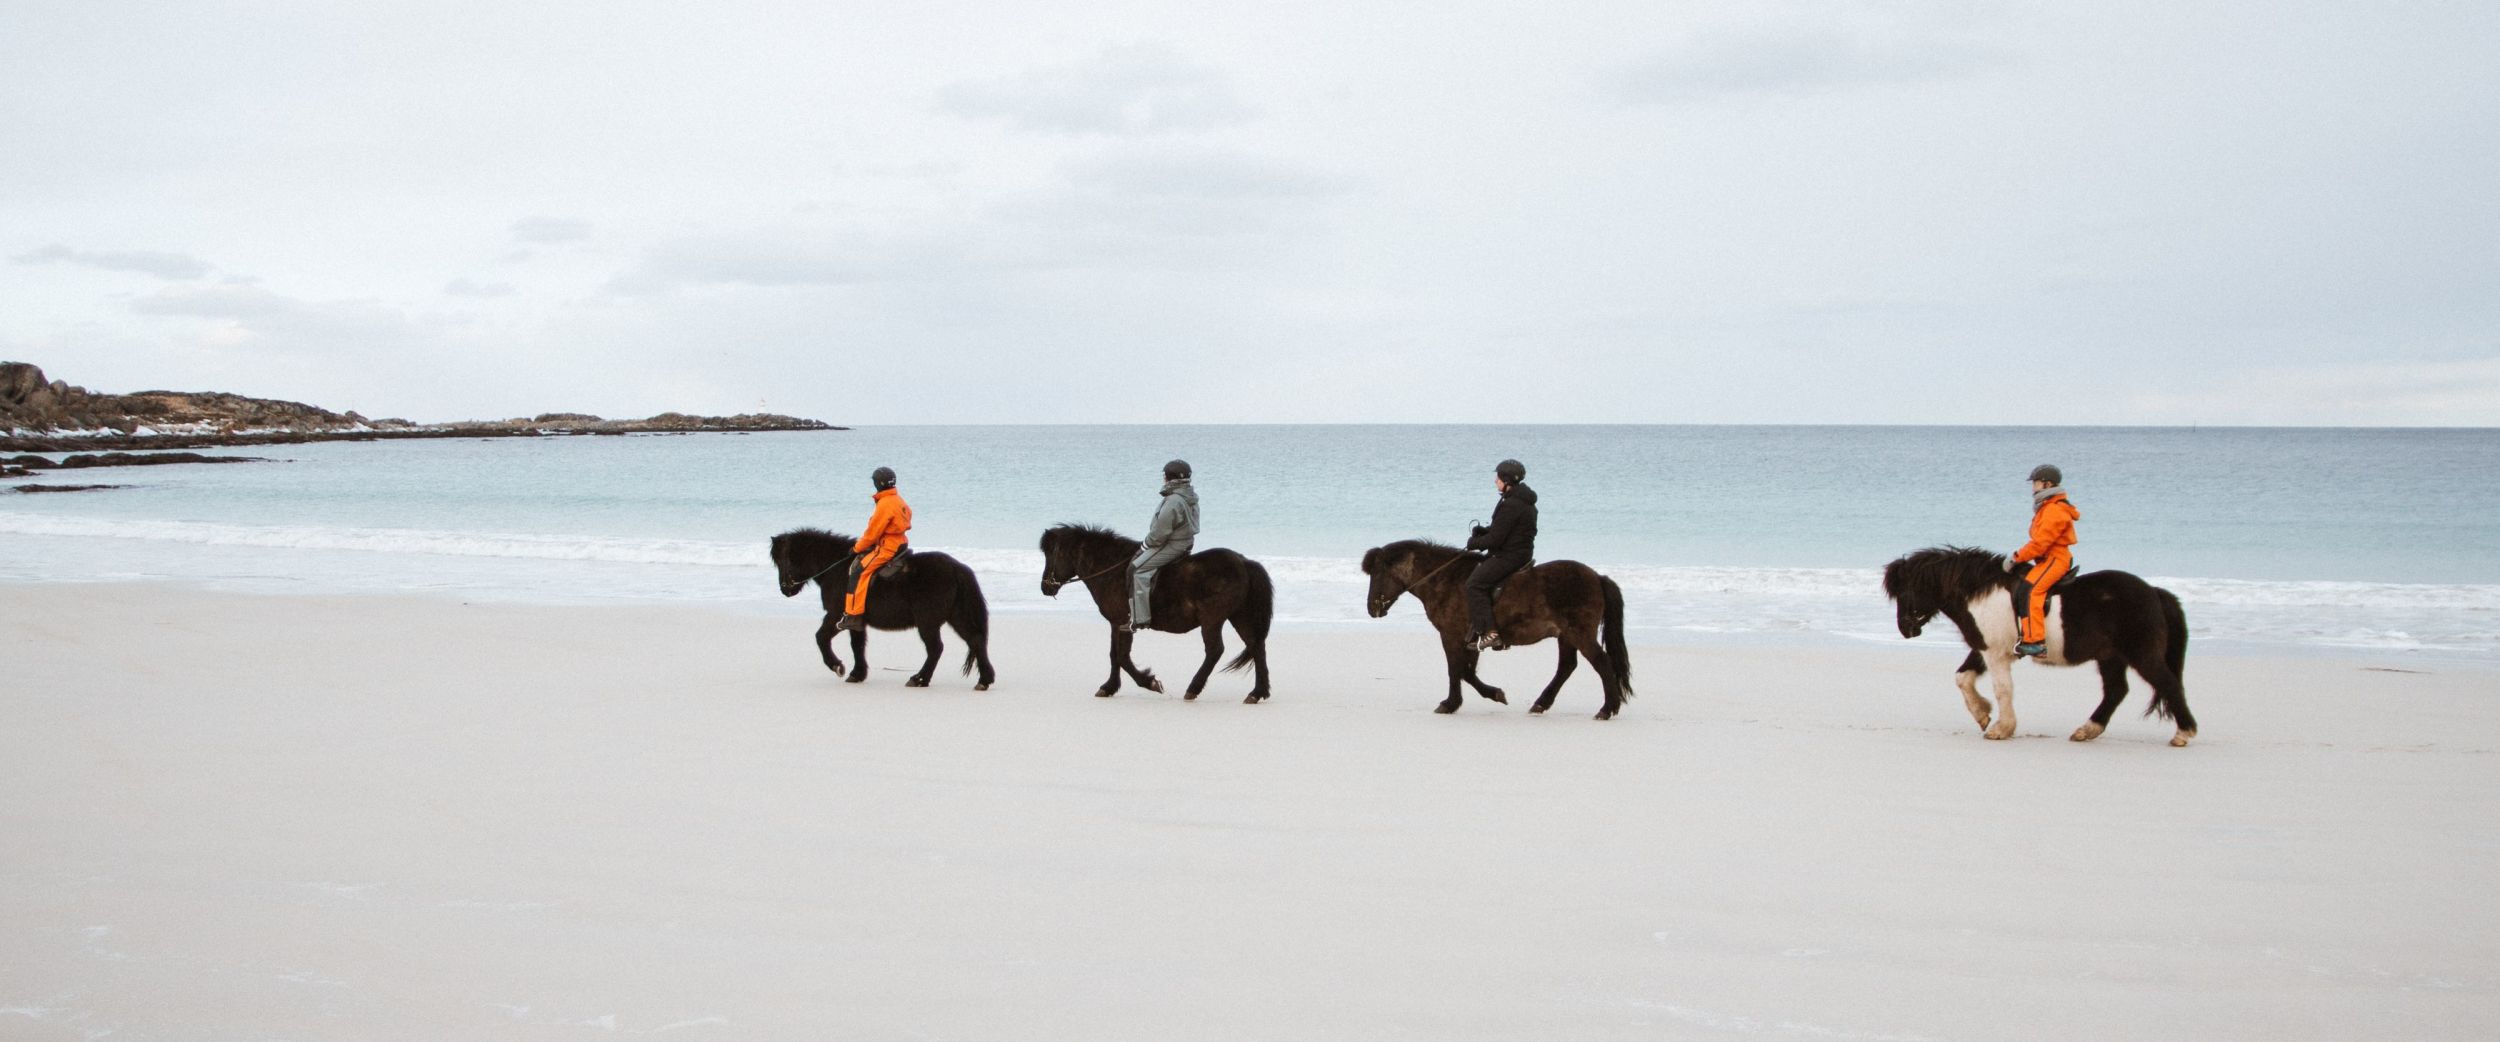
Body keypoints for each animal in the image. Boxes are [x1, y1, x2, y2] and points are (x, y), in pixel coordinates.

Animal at [770, 527, 995, 689]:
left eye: (783, 560)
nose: (785, 589)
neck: (837, 568)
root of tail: (957, 569)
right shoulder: (854, 620)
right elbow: (857, 645)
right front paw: (857, 674)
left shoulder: (835, 615)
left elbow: (821, 637)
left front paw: (837, 666)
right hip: (956, 616)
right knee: (975, 640)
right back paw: (984, 680)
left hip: (928, 622)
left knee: (936, 649)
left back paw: (919, 679)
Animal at [1035, 524, 1270, 704]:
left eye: (1052, 554)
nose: (1045, 587)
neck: (1111, 569)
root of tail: (1244, 562)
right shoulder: (1116, 623)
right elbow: (1114, 655)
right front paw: (1109, 687)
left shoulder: (1123, 622)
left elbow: (1122, 657)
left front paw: (1151, 683)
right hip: (1238, 616)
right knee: (1256, 645)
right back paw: (1257, 693)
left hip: (1212, 620)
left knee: (1215, 650)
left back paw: (1193, 689)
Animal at [1360, 539, 1630, 719]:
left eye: (1378, 573)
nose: (1372, 608)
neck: (1446, 579)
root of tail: (1597, 577)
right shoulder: (1470, 639)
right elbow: (1467, 672)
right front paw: (1495, 694)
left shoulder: (1451, 635)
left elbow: (1456, 670)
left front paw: (1450, 703)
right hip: (1566, 635)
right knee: (1567, 666)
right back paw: (1541, 703)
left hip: (1579, 633)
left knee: (1601, 663)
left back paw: (1607, 709)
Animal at [1880, 547, 2200, 744]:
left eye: (1905, 592)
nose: (1906, 629)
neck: (1981, 594)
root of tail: (2154, 593)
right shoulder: (1985, 649)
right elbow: (1963, 678)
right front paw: (1982, 714)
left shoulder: (1995, 653)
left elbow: (2002, 689)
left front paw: (2001, 728)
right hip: (2110, 656)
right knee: (2115, 691)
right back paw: (2087, 730)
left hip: (2141, 655)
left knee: (2168, 684)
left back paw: (2184, 733)